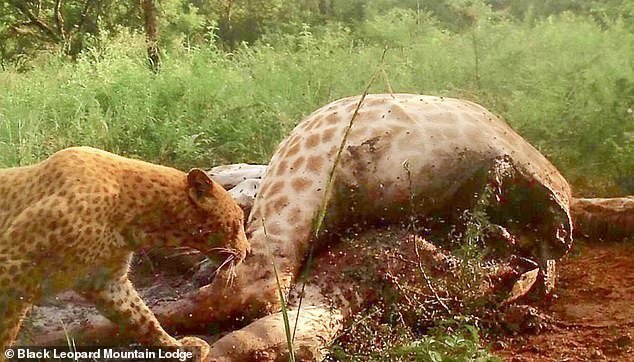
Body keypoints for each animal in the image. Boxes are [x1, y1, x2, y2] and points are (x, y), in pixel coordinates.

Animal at [0, 146, 251, 360]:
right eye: (238, 221)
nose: (248, 251)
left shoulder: (108, 282)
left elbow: (144, 319)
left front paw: (179, 349)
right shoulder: (12, 270)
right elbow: (5, 334)